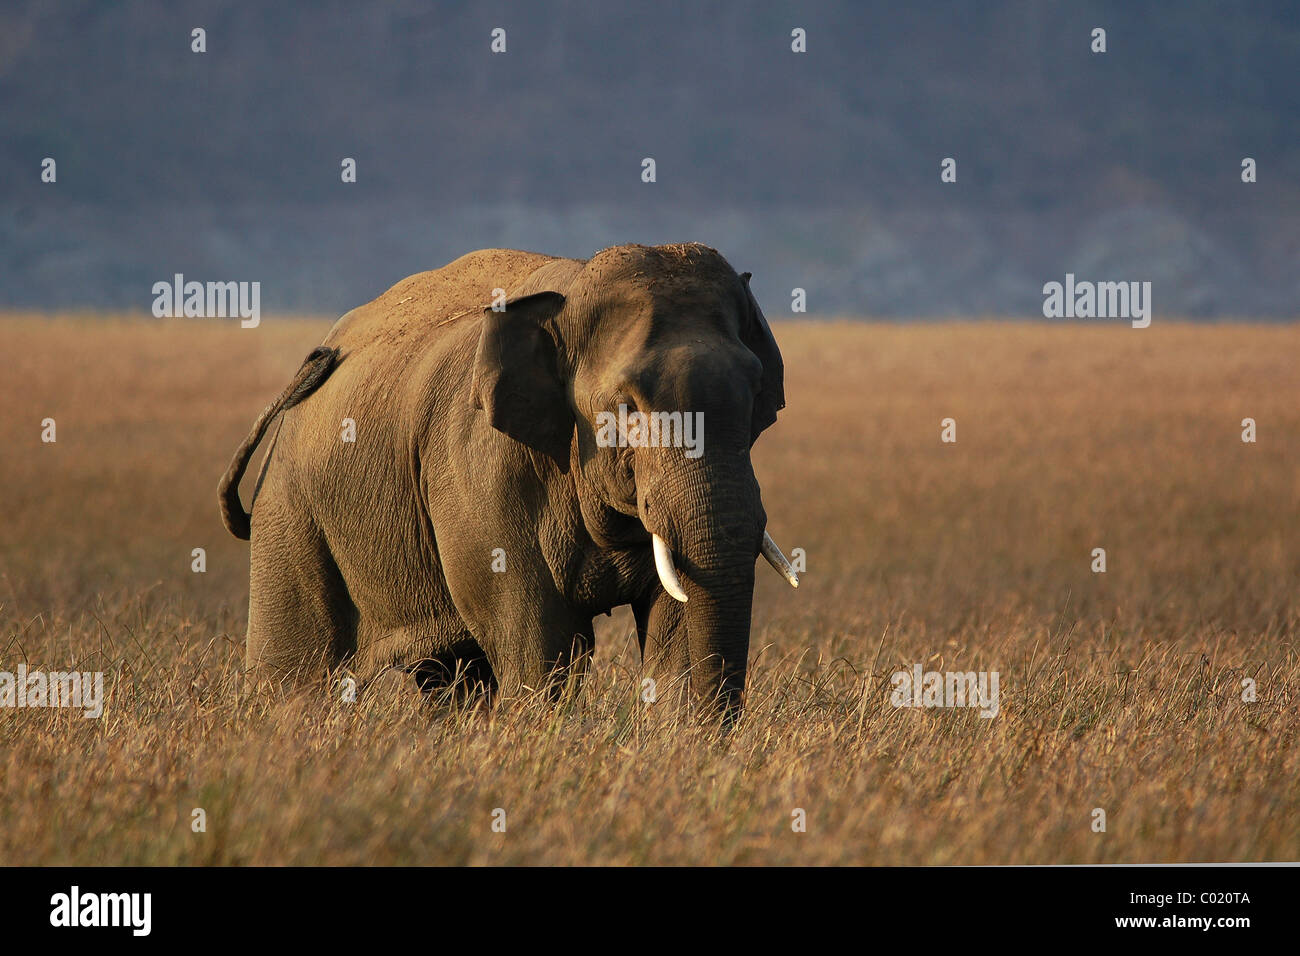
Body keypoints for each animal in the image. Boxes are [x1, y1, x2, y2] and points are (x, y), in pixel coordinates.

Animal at [218, 243, 795, 723]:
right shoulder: (478, 467)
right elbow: (540, 638)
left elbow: (673, 624)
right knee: (295, 673)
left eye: (754, 398)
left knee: (452, 677)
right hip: (291, 508)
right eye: (627, 407)